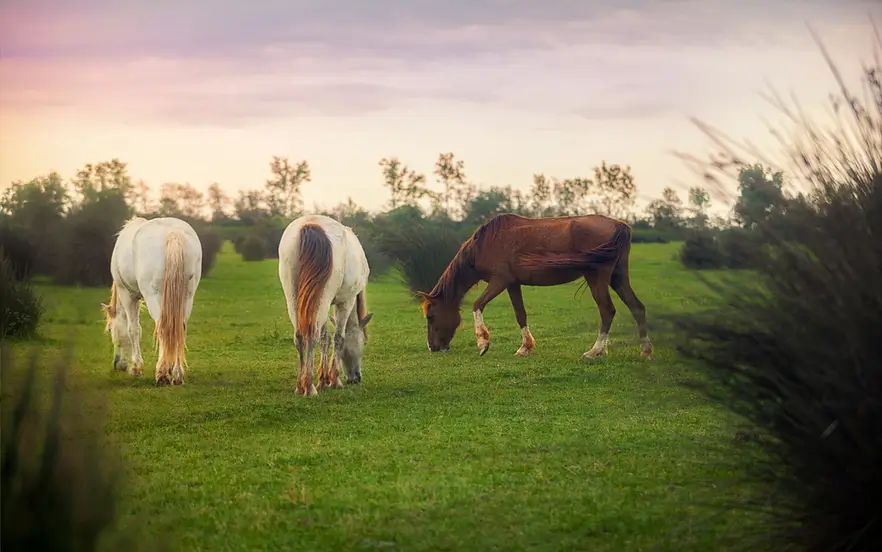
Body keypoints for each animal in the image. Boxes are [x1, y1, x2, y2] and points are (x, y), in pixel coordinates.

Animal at [102, 218, 203, 386]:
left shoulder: (127, 294)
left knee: (162, 327)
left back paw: (162, 374)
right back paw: (177, 374)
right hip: (187, 297)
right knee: (179, 329)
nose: (117, 365)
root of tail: (173, 233)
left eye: (110, 329)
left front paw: (136, 367)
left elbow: (133, 329)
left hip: (154, 297)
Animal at [280, 212, 372, 396]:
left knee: (300, 336)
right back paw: (309, 387)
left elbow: (325, 338)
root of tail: (311, 224)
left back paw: (300, 386)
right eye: (364, 342)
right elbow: (338, 338)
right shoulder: (345, 301)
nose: (356, 378)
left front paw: (323, 380)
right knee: (311, 335)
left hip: (295, 299)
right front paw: (334, 380)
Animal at [416, 213, 648, 360]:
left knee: (607, 311)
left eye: (430, 316)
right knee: (637, 307)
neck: (487, 242)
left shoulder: (499, 281)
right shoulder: (512, 284)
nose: (432, 347)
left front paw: (483, 344)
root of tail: (620, 225)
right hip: (618, 277)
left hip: (597, 278)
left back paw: (595, 351)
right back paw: (645, 351)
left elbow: (477, 305)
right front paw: (525, 348)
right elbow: (520, 314)